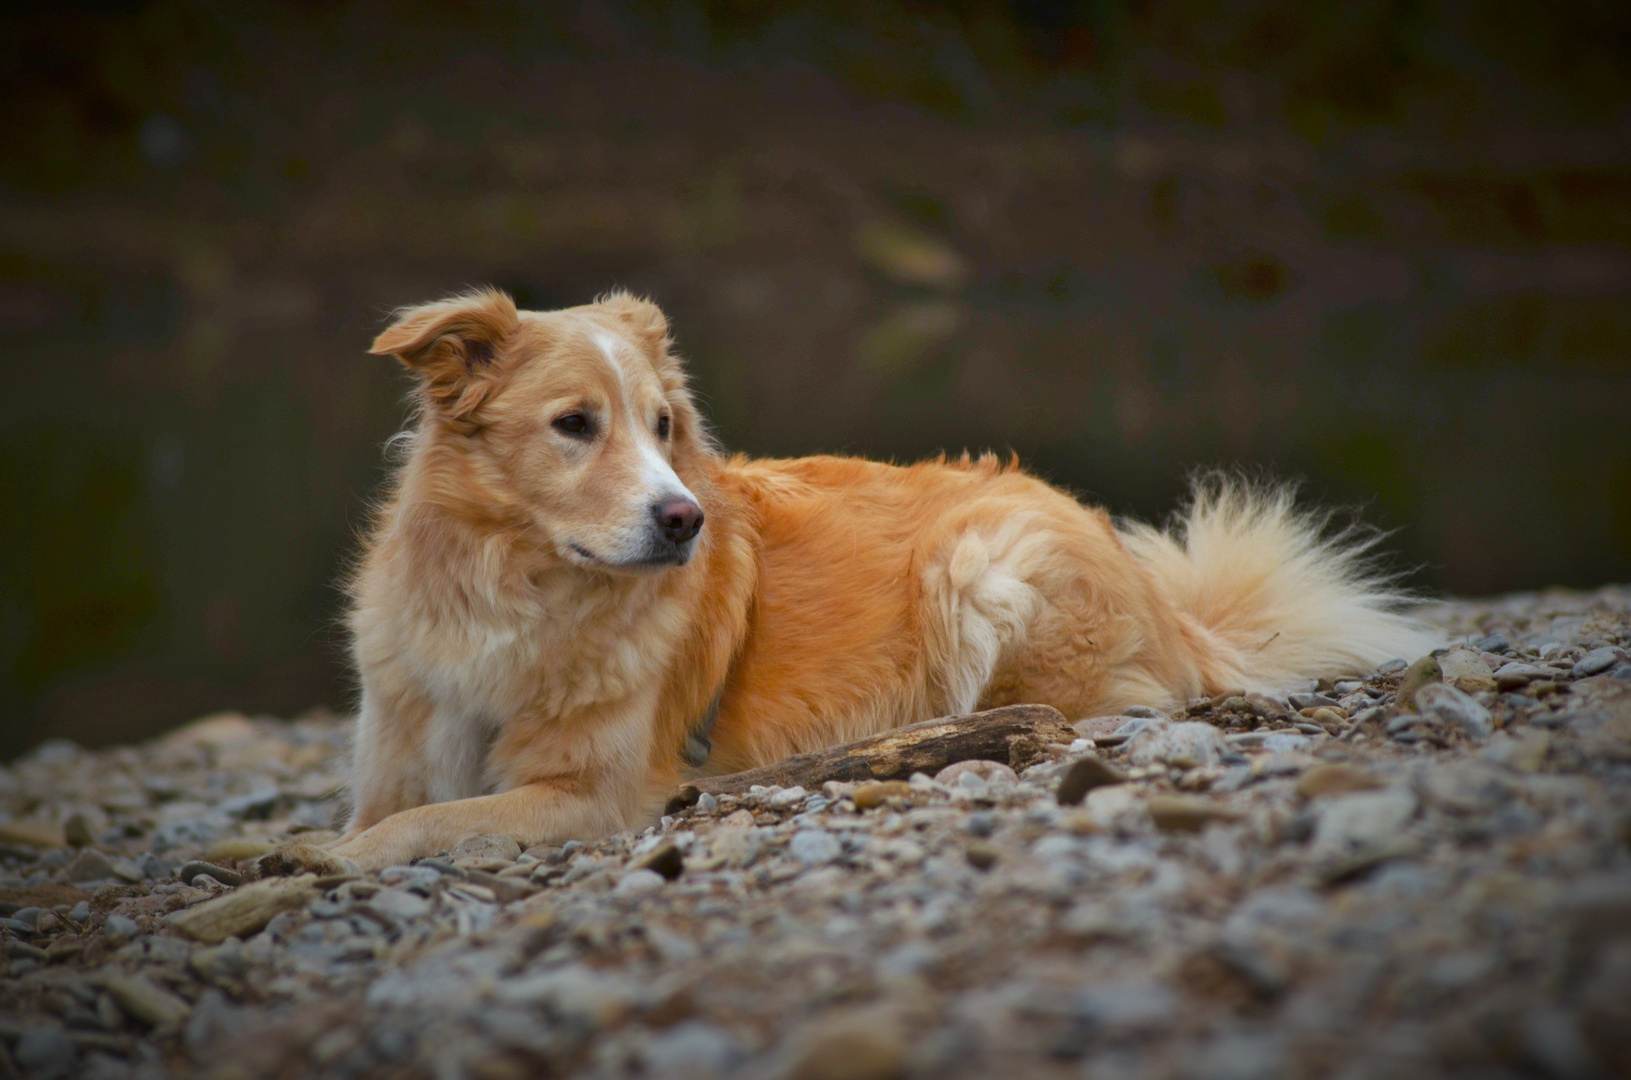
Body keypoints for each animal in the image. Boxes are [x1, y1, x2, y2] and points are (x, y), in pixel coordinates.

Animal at [314, 287, 1428, 874]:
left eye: (662, 427)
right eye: (574, 425)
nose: (684, 520)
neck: (514, 599)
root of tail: (1159, 593)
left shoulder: (594, 794)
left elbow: (418, 829)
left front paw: (310, 864)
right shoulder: (402, 747)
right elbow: (390, 813)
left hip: (980, 565)